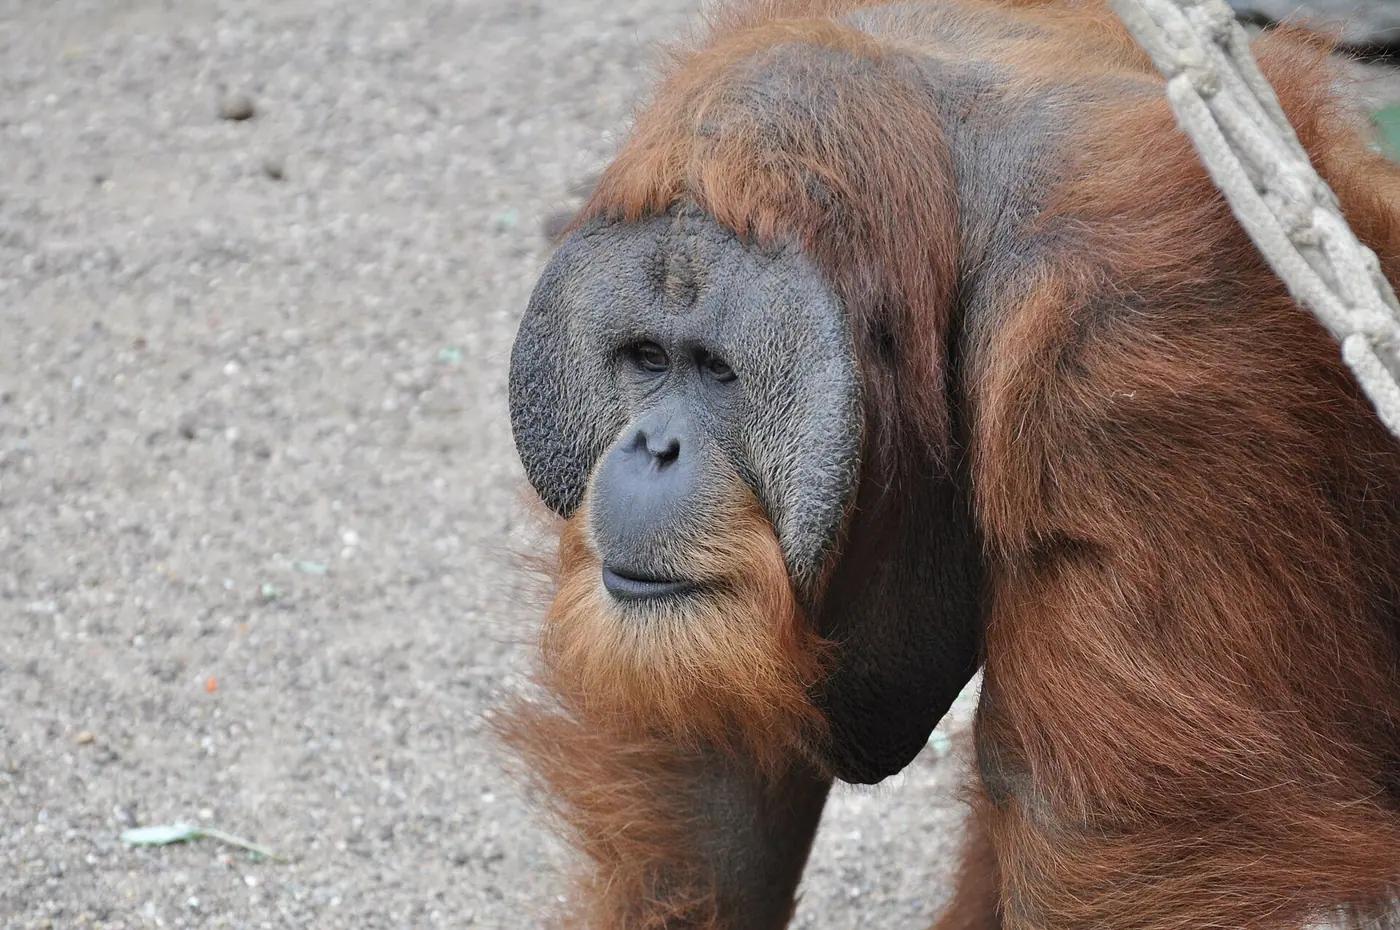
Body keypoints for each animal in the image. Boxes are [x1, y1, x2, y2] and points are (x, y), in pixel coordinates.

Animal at [503, 1, 1400, 928]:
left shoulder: (1129, 347)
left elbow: (1107, 824)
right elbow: (707, 775)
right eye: (647, 360)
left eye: (717, 372)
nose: (653, 447)